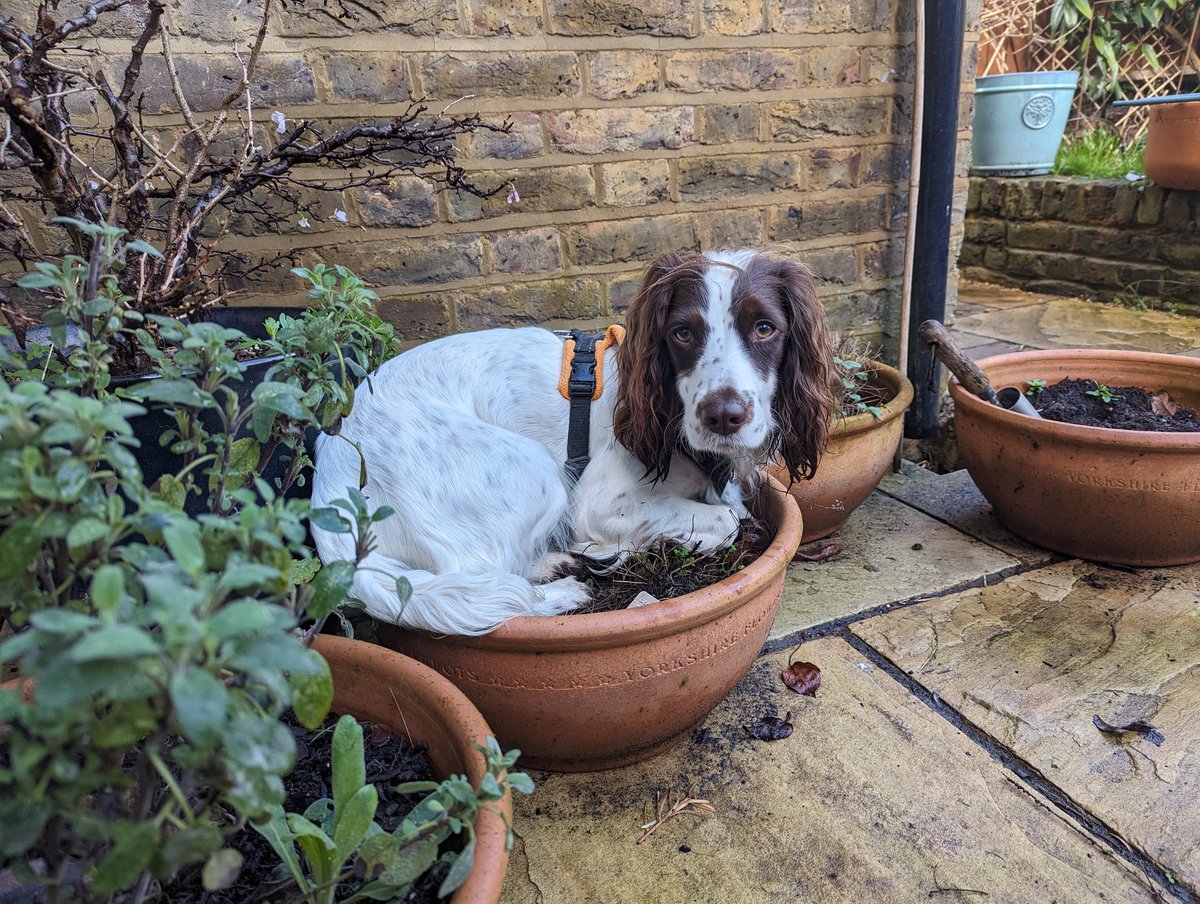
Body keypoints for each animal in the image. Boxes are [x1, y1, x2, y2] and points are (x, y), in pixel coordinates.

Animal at [312, 247, 835, 633]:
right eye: (683, 333)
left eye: (764, 328)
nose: (723, 416)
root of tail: (331, 476)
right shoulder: (596, 503)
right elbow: (725, 519)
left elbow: (731, 507)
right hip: (533, 470)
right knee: (478, 577)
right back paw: (561, 591)